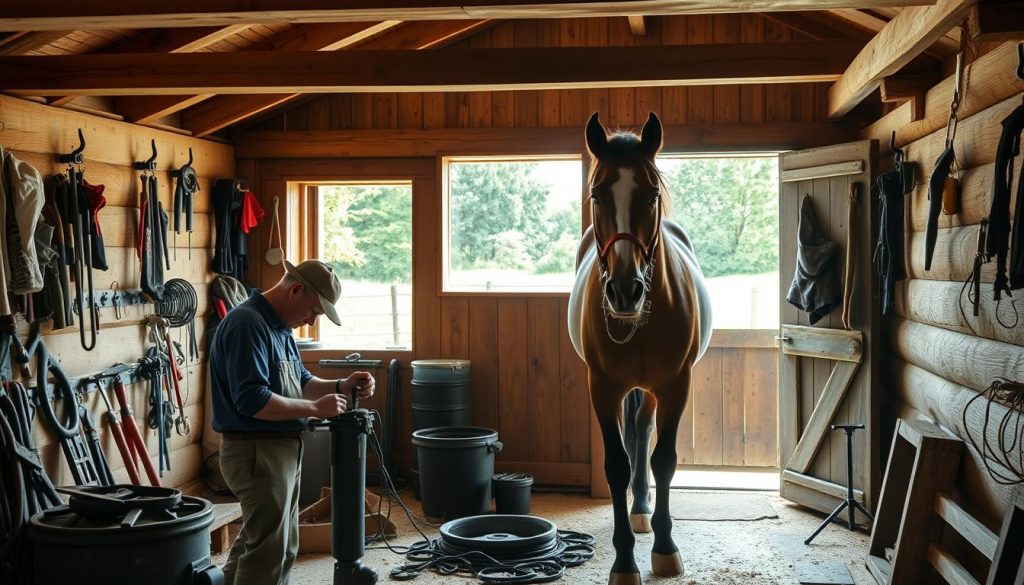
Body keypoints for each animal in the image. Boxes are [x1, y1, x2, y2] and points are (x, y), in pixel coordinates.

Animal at [569, 112, 712, 581]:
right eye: (597, 195)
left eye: (651, 194)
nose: (625, 291)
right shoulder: (602, 388)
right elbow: (616, 465)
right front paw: (624, 561)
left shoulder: (675, 386)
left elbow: (662, 459)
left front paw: (665, 548)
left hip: (650, 392)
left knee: (644, 431)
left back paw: (643, 510)